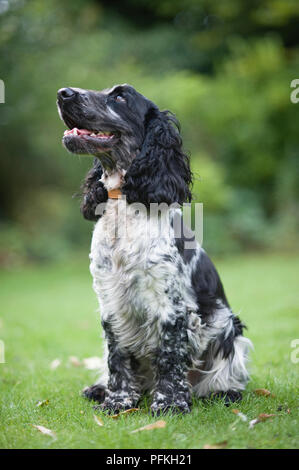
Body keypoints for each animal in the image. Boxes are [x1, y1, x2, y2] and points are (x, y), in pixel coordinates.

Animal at [56, 84, 253, 414]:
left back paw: (224, 391)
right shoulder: (111, 301)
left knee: (224, 369)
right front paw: (118, 400)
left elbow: (170, 355)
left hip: (227, 325)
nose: (63, 93)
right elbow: (117, 355)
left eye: (120, 97)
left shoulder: (171, 304)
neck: (125, 208)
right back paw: (100, 388)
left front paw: (170, 403)